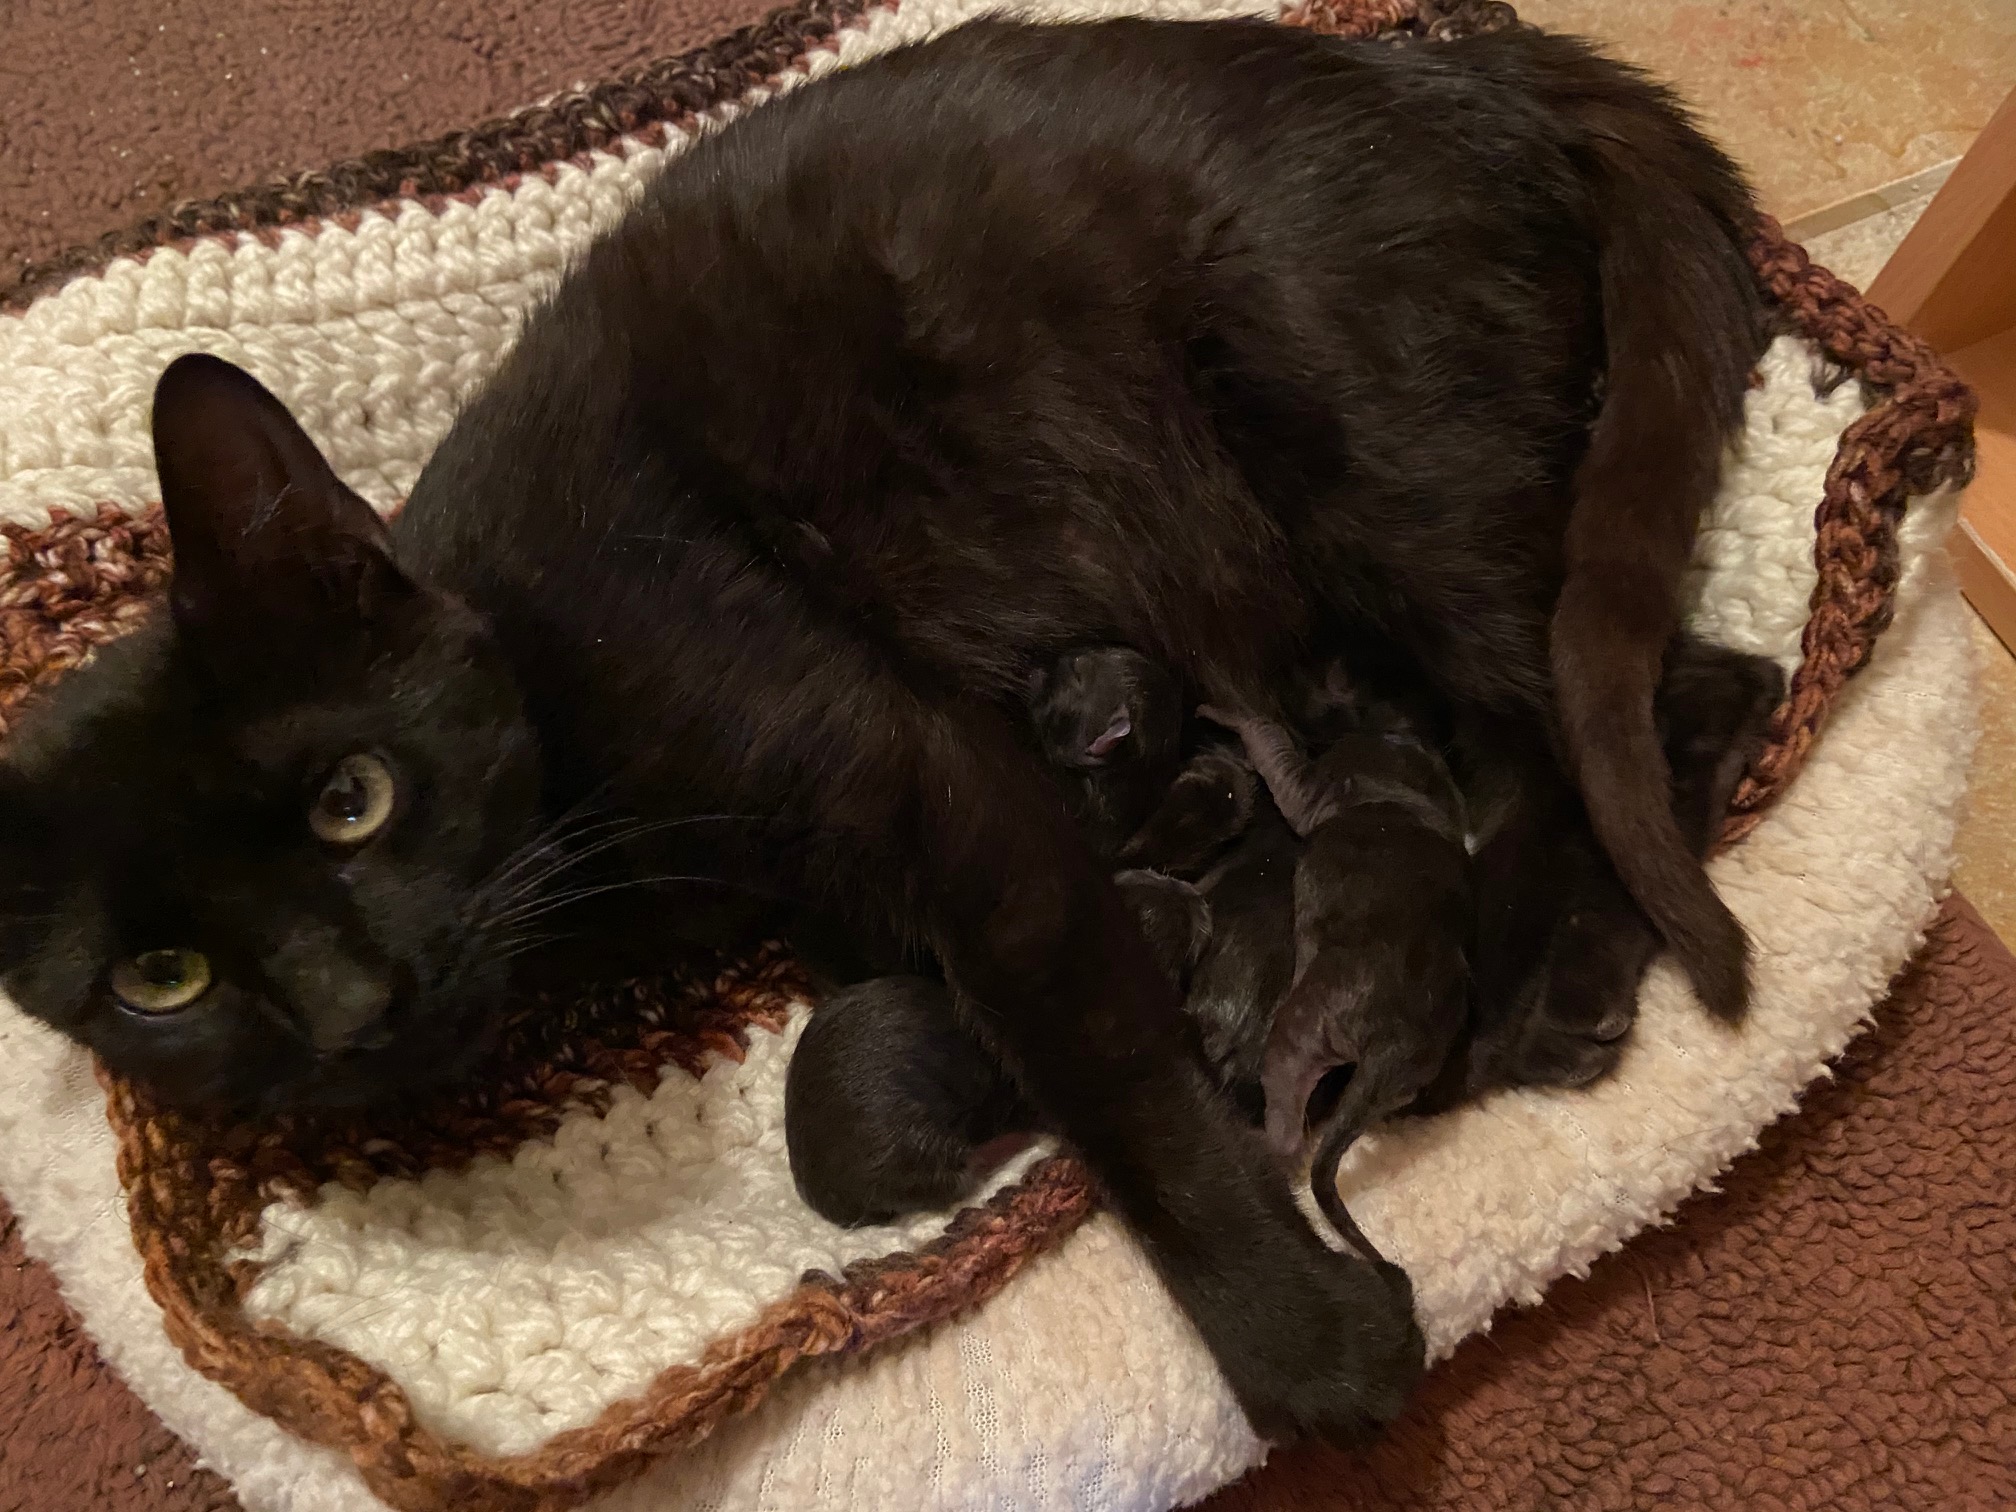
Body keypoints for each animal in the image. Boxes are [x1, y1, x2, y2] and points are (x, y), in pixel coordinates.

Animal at [0, 18, 1768, 1443]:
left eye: (353, 798)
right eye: (162, 981)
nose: (353, 1005)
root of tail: (1464, 59)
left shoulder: (939, 793)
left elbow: (1120, 1088)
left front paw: (1309, 1351)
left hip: (1388, 482)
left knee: (1673, 696)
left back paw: (1543, 991)